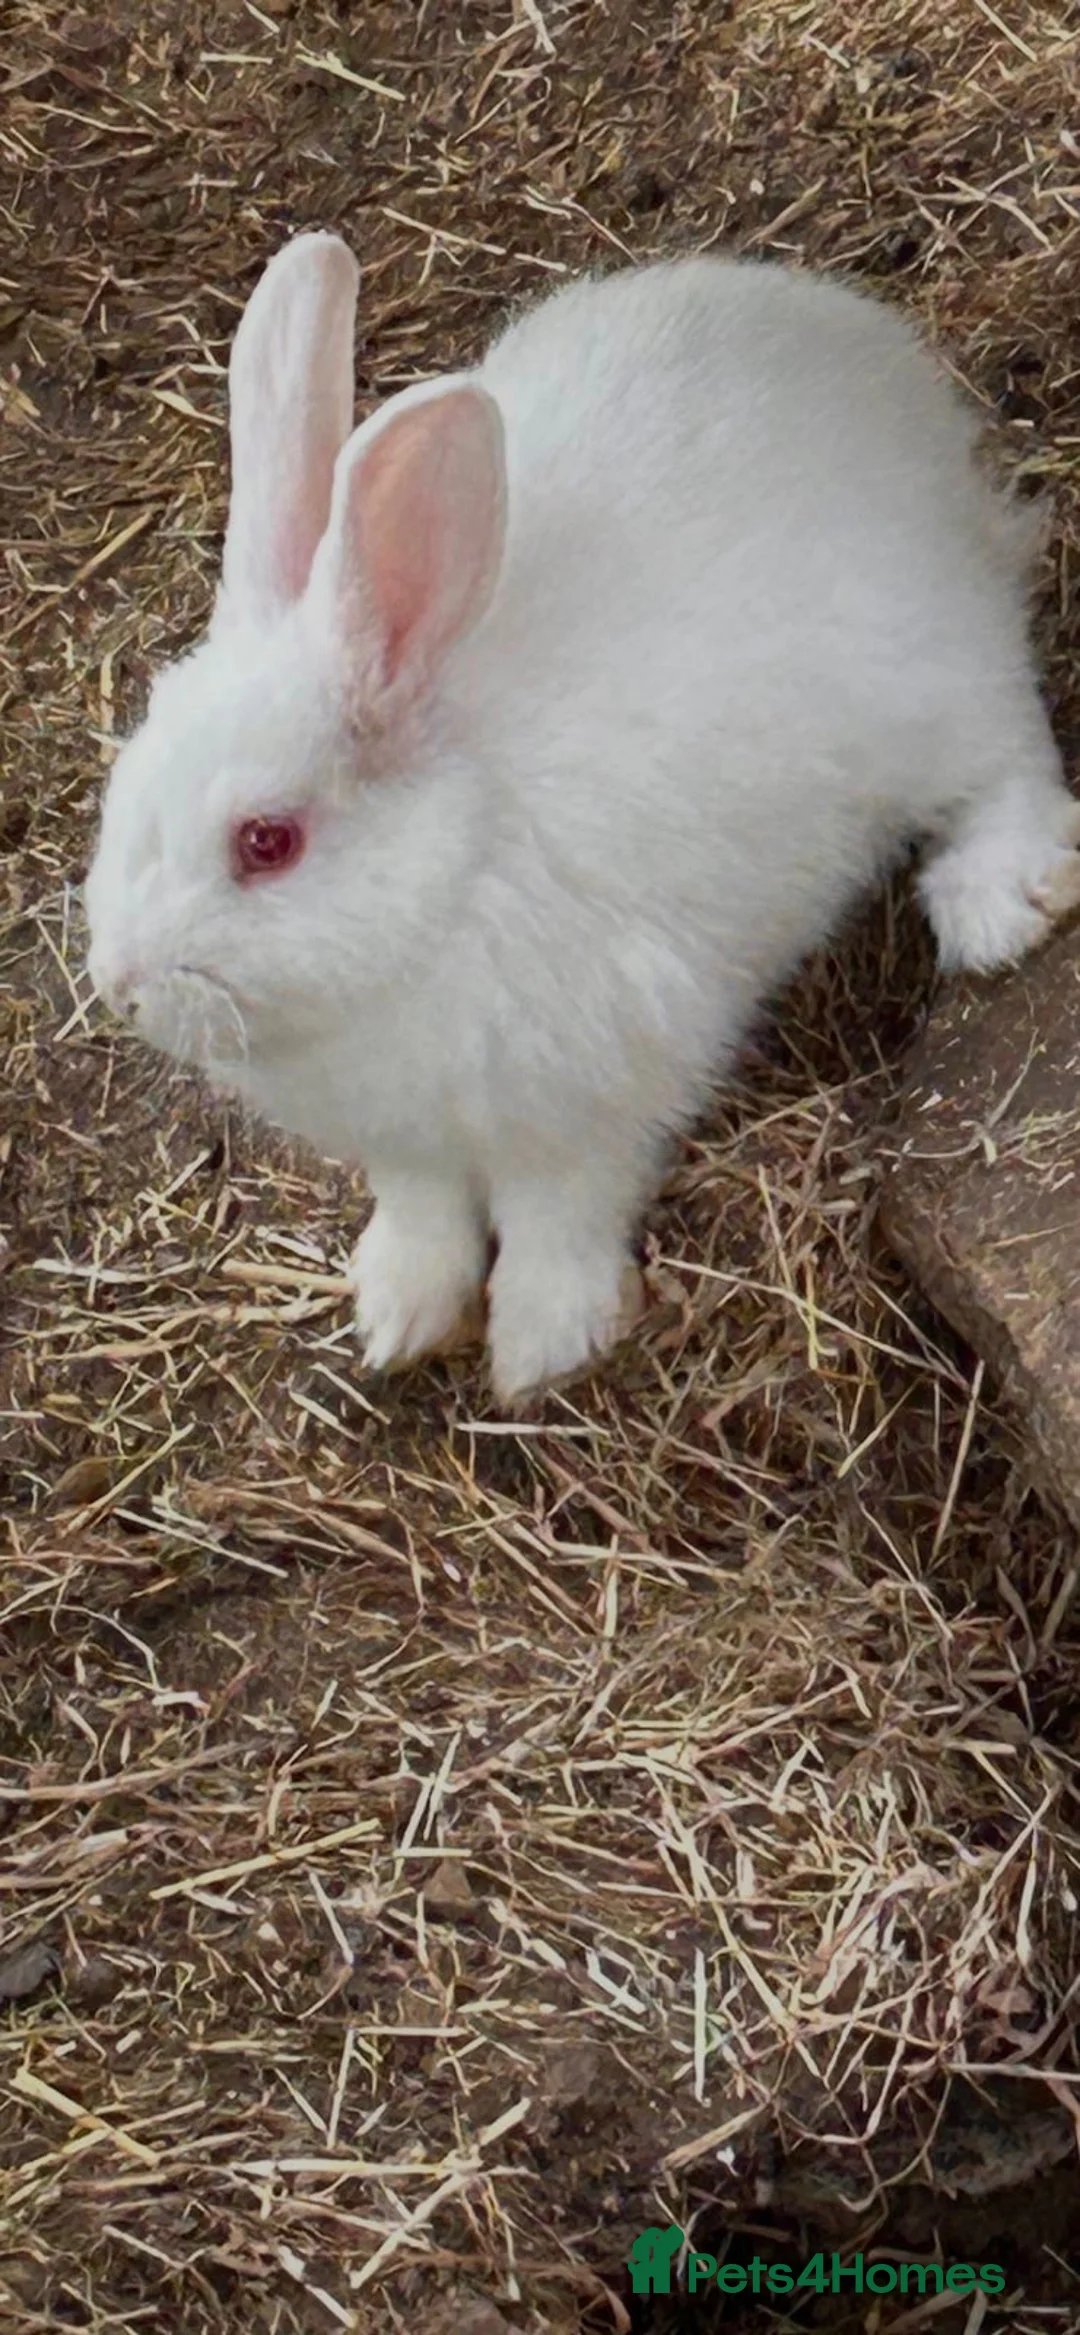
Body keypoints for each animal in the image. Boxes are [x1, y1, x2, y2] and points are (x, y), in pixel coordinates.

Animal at [84, 231, 1080, 1404]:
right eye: (126, 781)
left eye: (266, 842)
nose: (120, 982)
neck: (452, 876)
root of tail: (906, 397)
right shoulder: (410, 1144)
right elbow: (425, 1217)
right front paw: (399, 1314)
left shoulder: (593, 1101)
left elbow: (561, 1216)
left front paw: (542, 1346)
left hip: (935, 680)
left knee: (1008, 754)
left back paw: (995, 907)